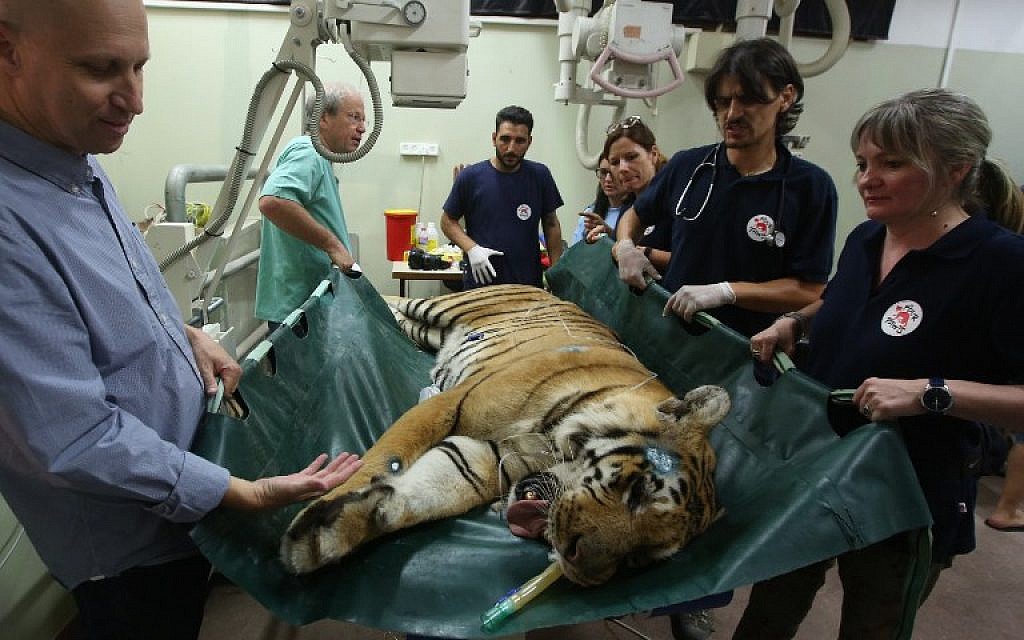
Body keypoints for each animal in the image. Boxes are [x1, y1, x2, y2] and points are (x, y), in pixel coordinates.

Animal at [279, 284, 730, 586]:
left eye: (641, 558)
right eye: (637, 491)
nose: (579, 568)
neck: (553, 444)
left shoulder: (481, 457)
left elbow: (426, 493)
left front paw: (337, 529)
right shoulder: (449, 405)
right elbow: (385, 457)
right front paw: (323, 514)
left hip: (426, 332)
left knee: (398, 315)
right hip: (440, 306)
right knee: (395, 297)